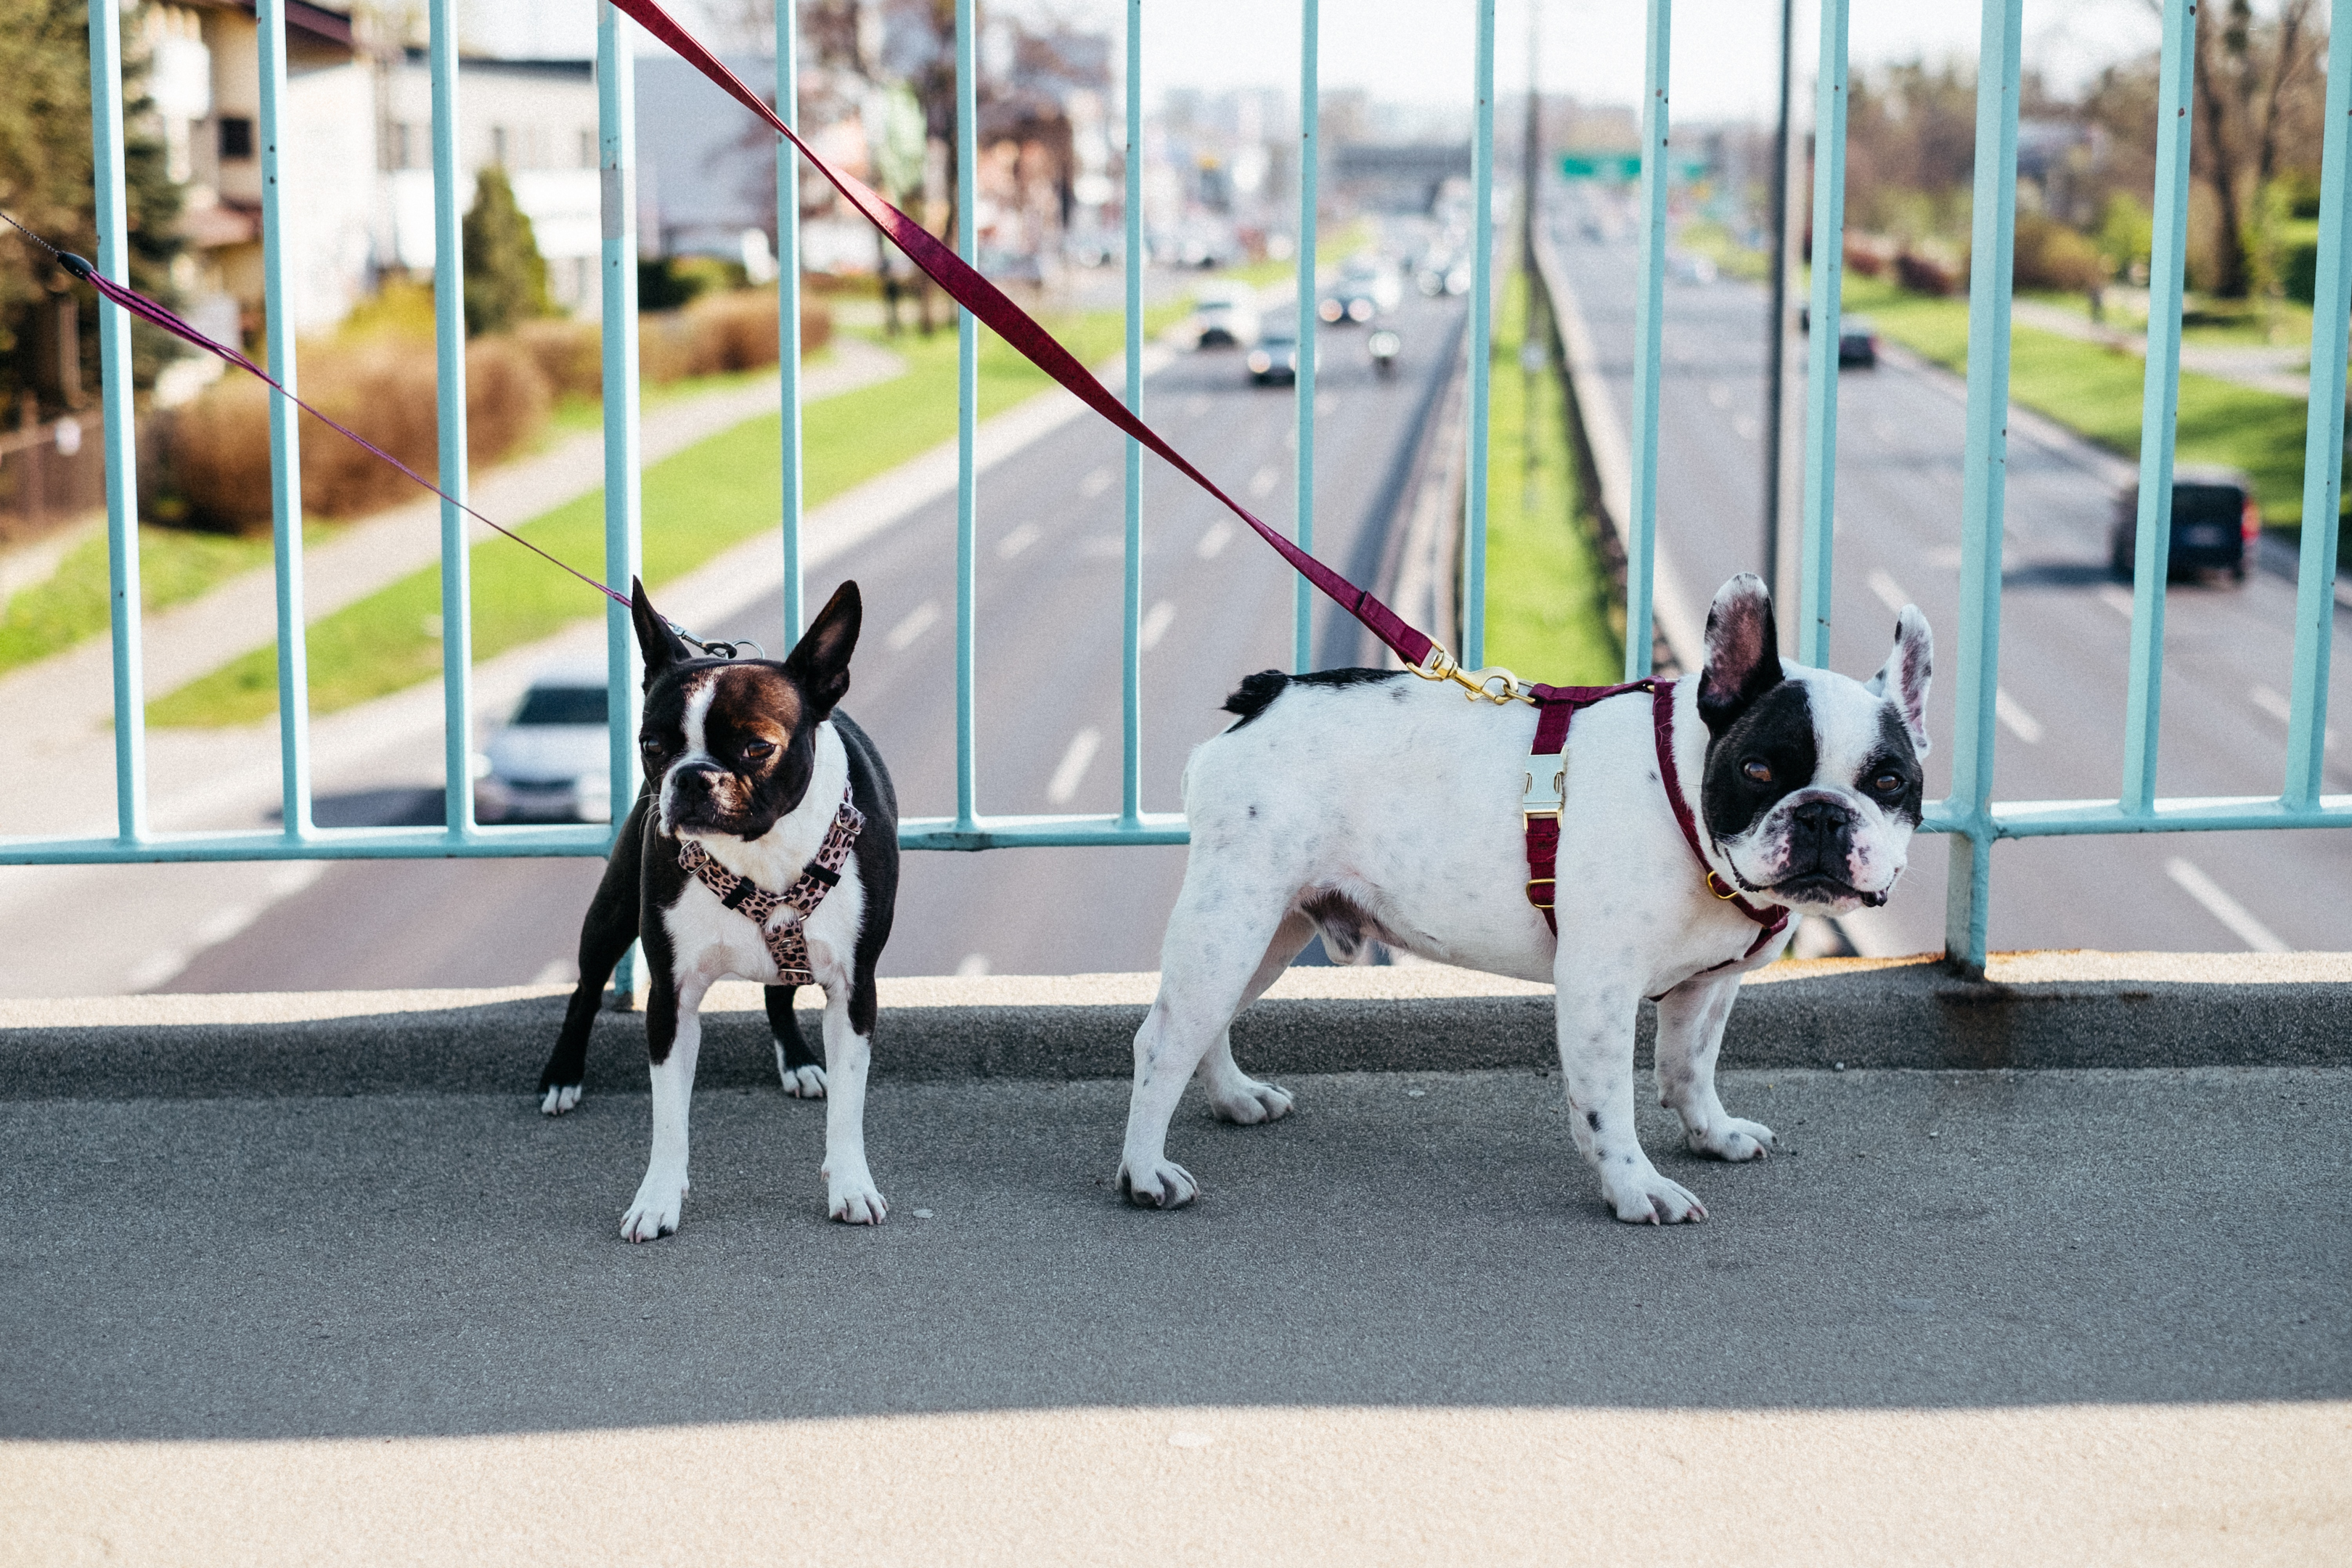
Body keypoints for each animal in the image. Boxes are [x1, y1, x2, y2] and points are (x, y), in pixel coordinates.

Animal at [538, 573, 898, 1241]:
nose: (693, 776)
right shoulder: (671, 998)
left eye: (758, 747)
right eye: (652, 744)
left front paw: (851, 1184)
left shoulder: (854, 988)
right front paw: (656, 1199)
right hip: (612, 913)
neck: (763, 851)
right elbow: (668, 1118)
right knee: (584, 991)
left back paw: (800, 1063)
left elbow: (849, 1105)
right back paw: (562, 1077)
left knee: (778, 995)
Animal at [1119, 576, 1928, 1222]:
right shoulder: (1599, 989)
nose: (1822, 813)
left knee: (1208, 1021)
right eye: (1758, 769)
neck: (1686, 805)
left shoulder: (1707, 986)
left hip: (1271, 927)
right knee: (1163, 1039)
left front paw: (1714, 1134)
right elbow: (1609, 1102)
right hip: (1233, 917)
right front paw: (1635, 1187)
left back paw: (1234, 1098)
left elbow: (1689, 1069)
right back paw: (1145, 1173)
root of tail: (1269, 692)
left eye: (1890, 781)